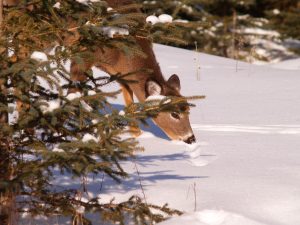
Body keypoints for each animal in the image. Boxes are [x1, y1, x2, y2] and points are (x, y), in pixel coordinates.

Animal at [2, 0, 197, 144]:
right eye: (174, 114)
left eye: (188, 110)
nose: (191, 138)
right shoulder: (84, 54)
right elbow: (73, 93)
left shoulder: (121, 74)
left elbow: (130, 104)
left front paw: (136, 136)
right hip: (34, 30)